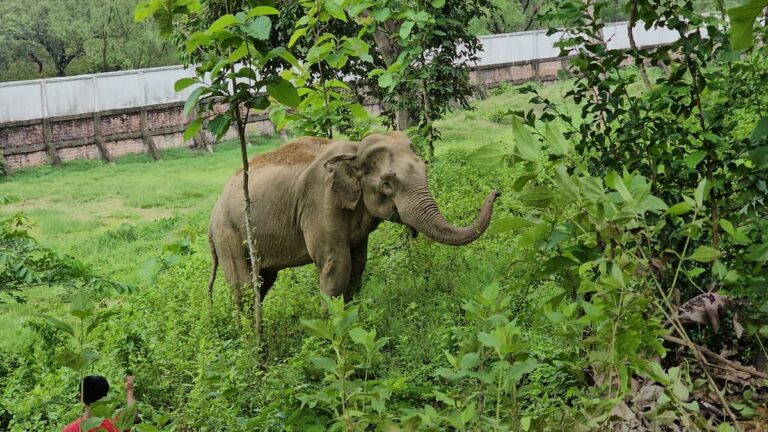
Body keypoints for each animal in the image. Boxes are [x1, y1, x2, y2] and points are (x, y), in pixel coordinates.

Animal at [207, 131, 500, 312]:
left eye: (425, 169)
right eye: (387, 184)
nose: (496, 192)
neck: (355, 151)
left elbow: (358, 264)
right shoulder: (320, 203)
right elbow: (337, 264)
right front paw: (333, 332)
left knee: (263, 282)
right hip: (228, 234)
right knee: (244, 286)